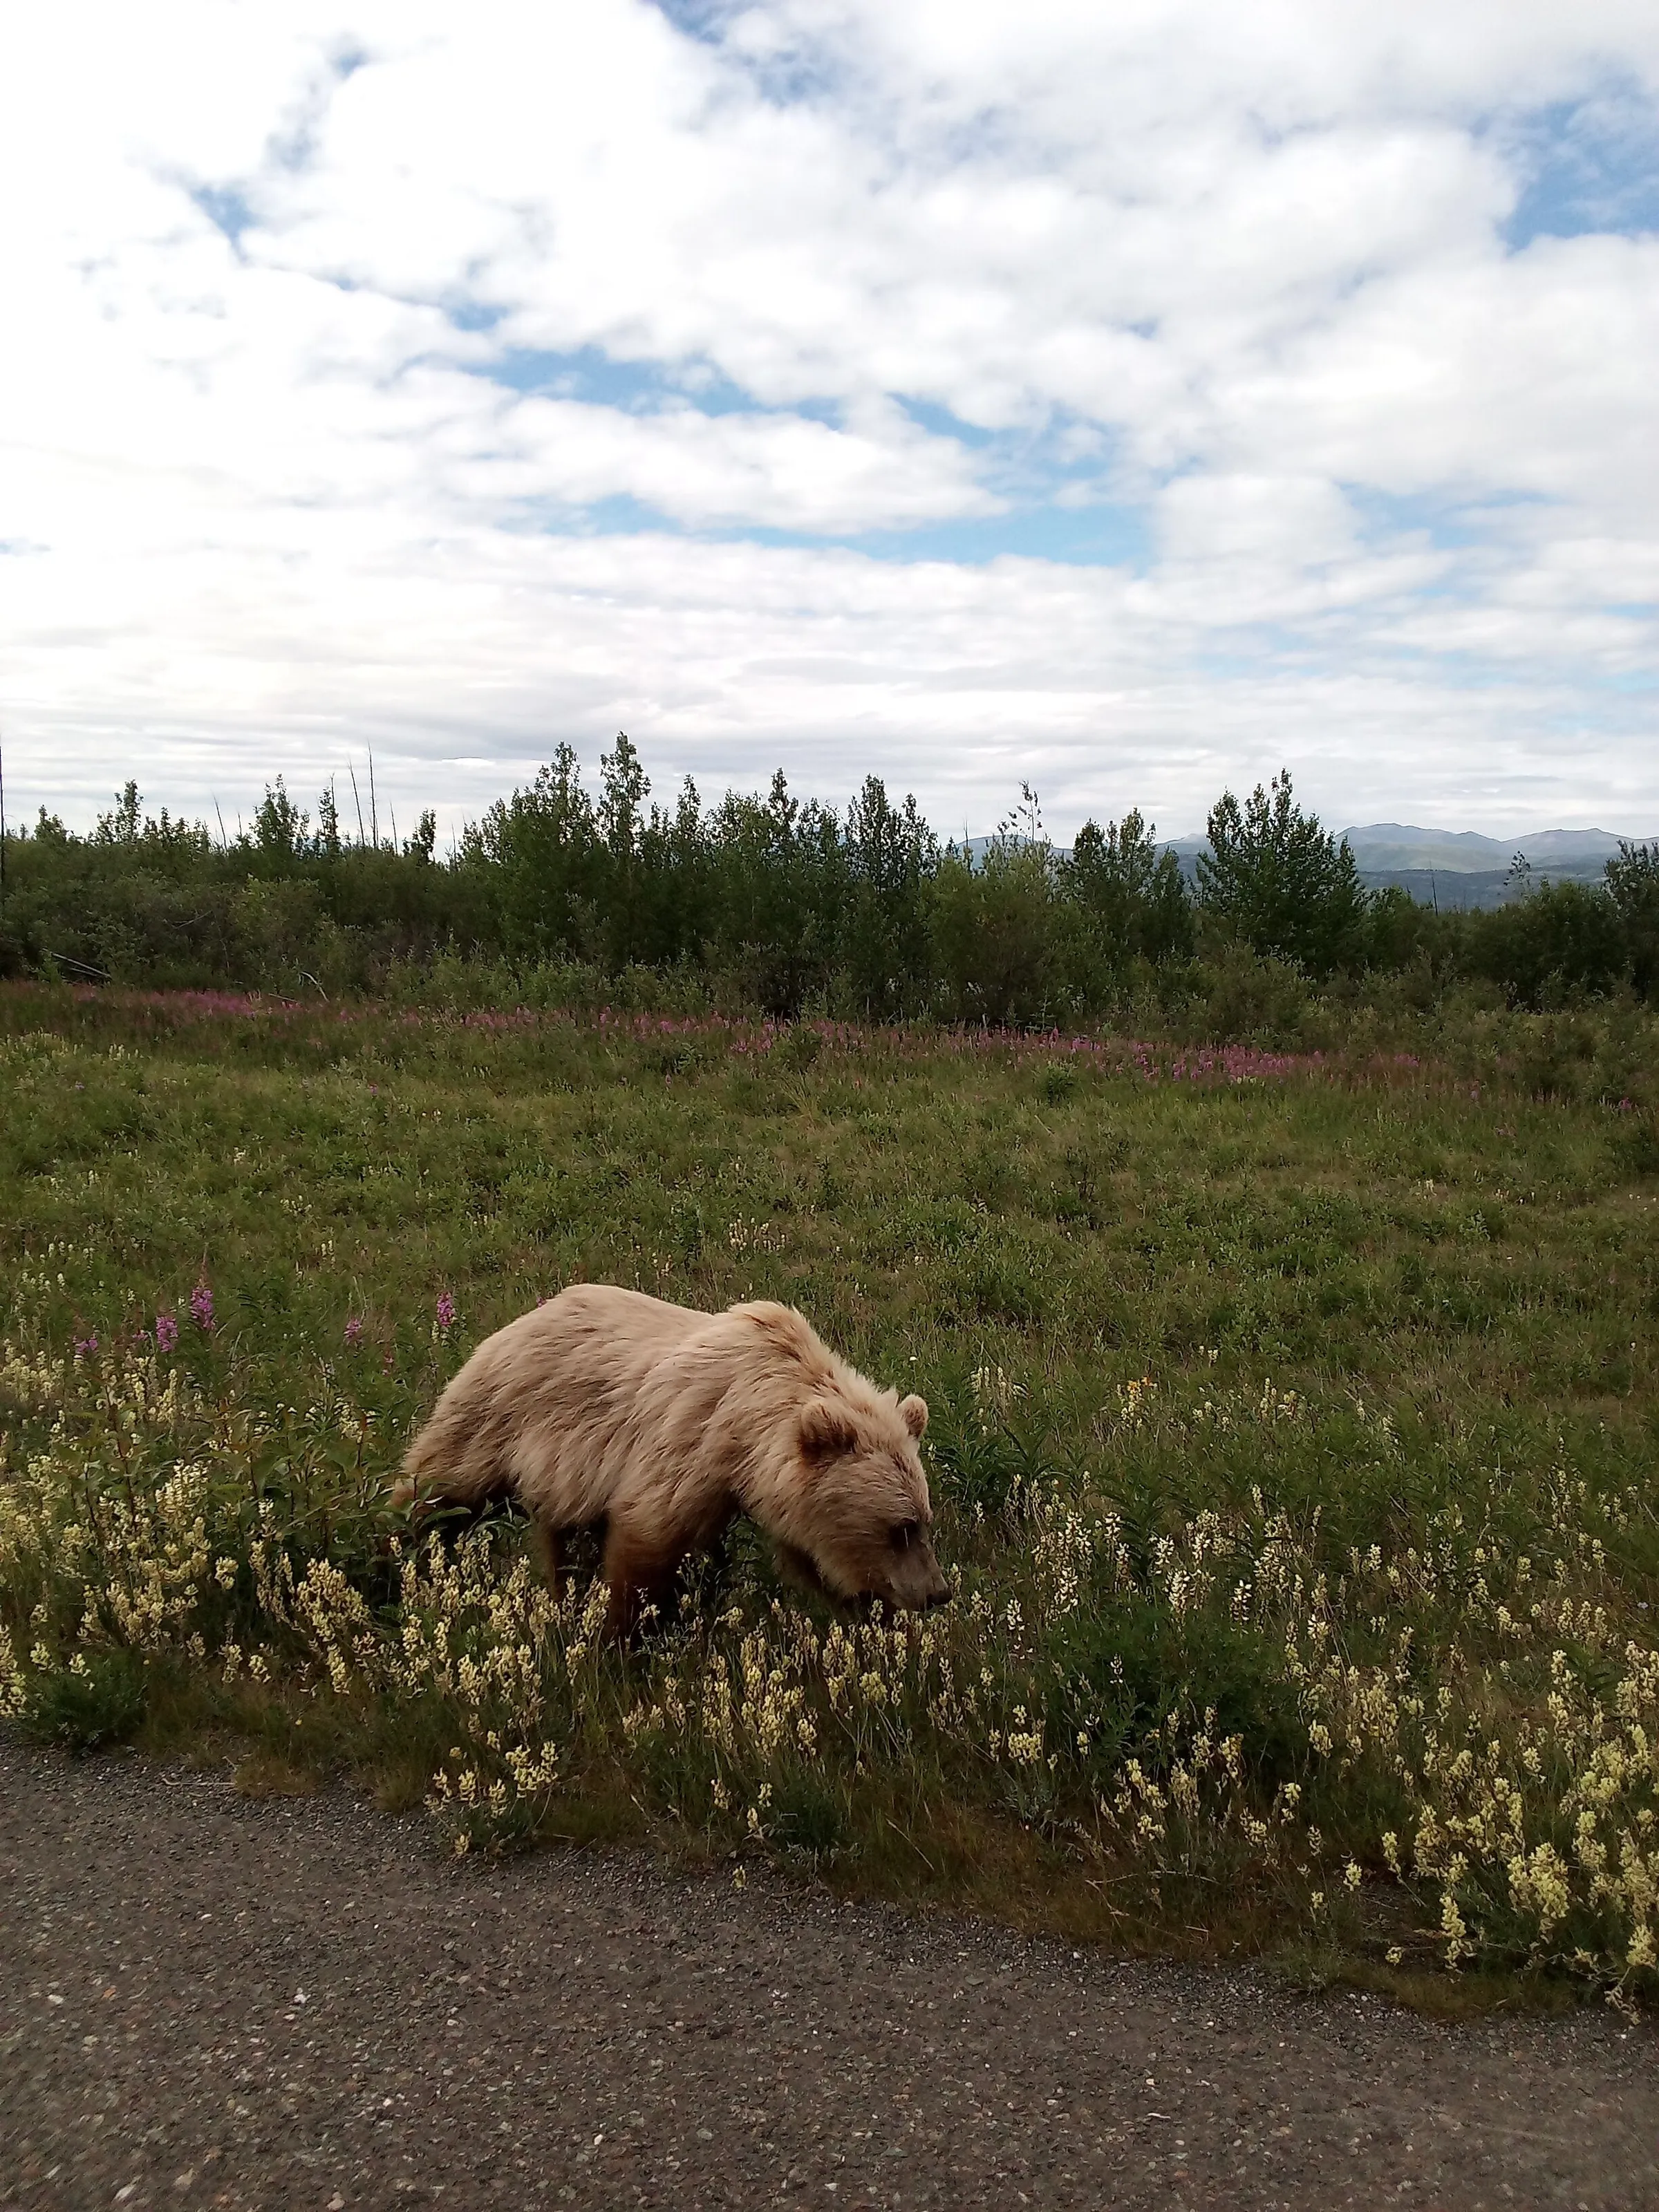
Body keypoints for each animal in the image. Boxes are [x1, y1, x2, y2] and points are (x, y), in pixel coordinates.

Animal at [393, 1284, 949, 1635]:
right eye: (900, 1528)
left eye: (924, 1520)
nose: (937, 1593)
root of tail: (518, 1321)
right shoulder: (689, 1444)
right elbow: (646, 1545)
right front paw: (621, 1640)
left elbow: (812, 1558)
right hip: (496, 1416)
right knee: (439, 1489)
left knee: (561, 1539)